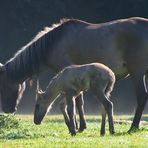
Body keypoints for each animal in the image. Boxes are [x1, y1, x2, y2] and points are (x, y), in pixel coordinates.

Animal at [0, 17, 148, 132]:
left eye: (3, 86)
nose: (7, 110)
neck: (52, 44)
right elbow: (78, 101)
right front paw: (79, 125)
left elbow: (77, 101)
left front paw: (78, 126)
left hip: (137, 72)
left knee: (141, 96)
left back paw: (133, 127)